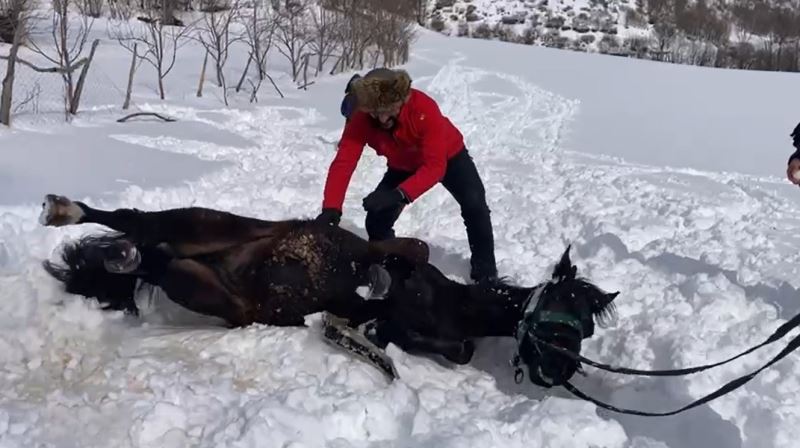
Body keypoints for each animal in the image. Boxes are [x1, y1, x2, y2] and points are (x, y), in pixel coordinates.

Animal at [39, 194, 620, 386]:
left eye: (586, 328)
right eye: (560, 306)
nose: (561, 371)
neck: (448, 305)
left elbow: (410, 339)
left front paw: (364, 333)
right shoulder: (393, 262)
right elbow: (407, 251)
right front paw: (373, 288)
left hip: (209, 289)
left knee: (150, 254)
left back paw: (122, 258)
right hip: (202, 223)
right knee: (129, 217)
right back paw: (61, 210)